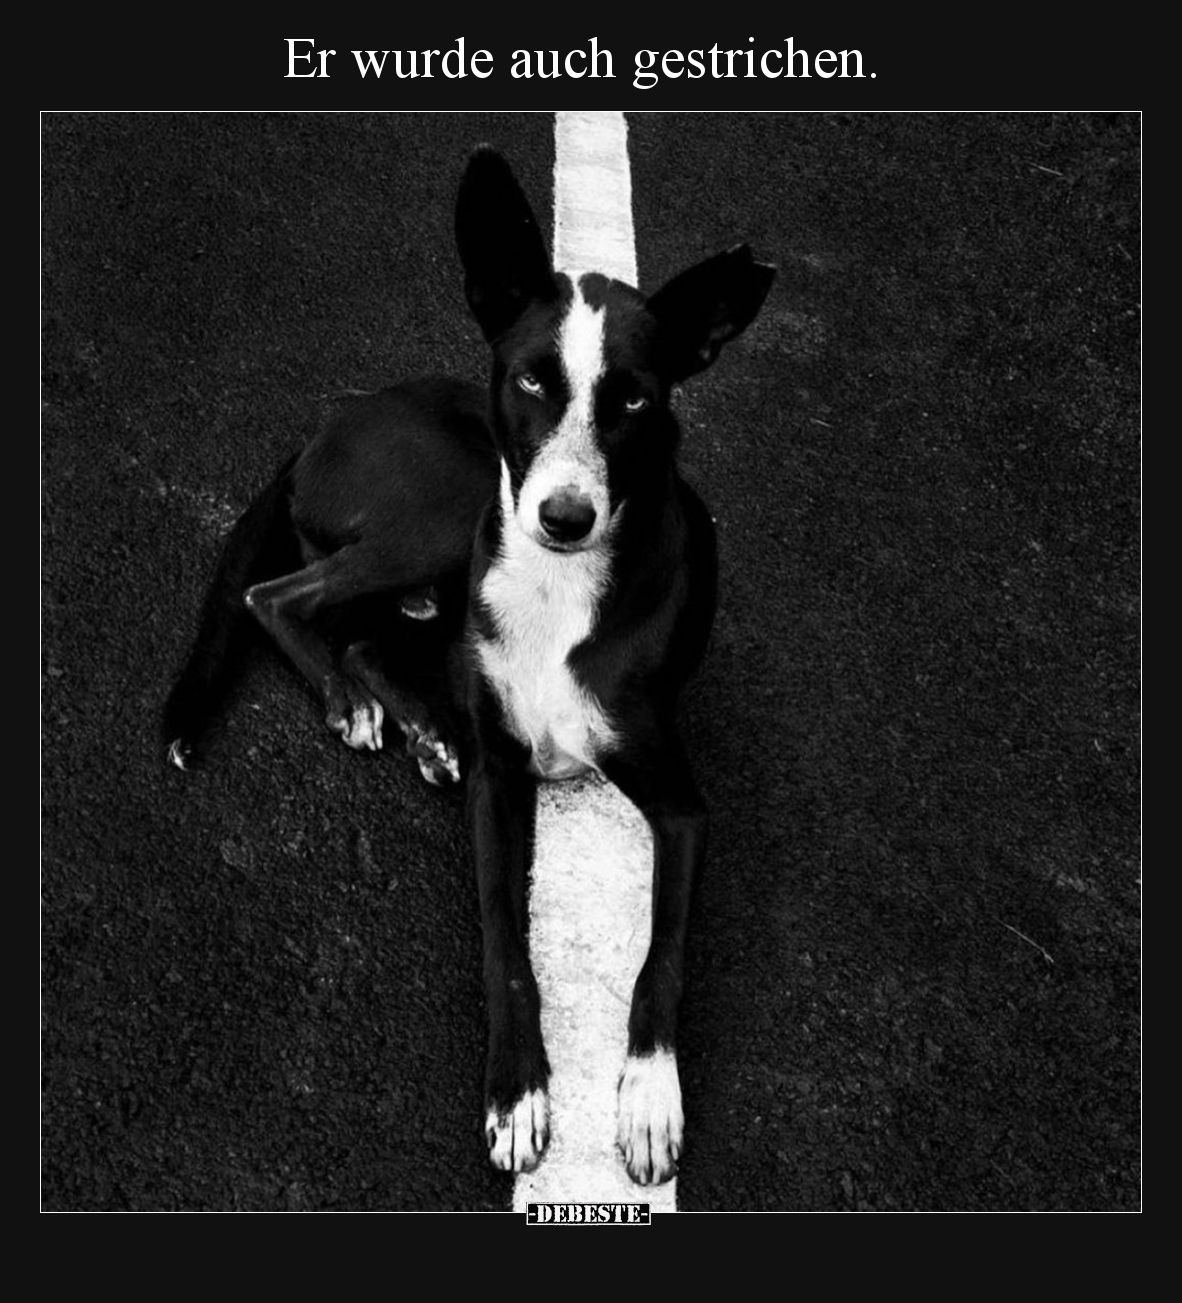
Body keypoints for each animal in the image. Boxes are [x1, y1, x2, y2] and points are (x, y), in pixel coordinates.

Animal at [164, 146, 774, 1185]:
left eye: (636, 398)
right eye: (529, 382)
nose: (563, 517)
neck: (561, 588)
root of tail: (331, 421)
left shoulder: (684, 807)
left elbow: (663, 959)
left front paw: (650, 1095)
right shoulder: (500, 781)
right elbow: (502, 936)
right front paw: (517, 1091)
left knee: (362, 630)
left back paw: (412, 721)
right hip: (453, 506)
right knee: (277, 596)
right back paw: (358, 704)